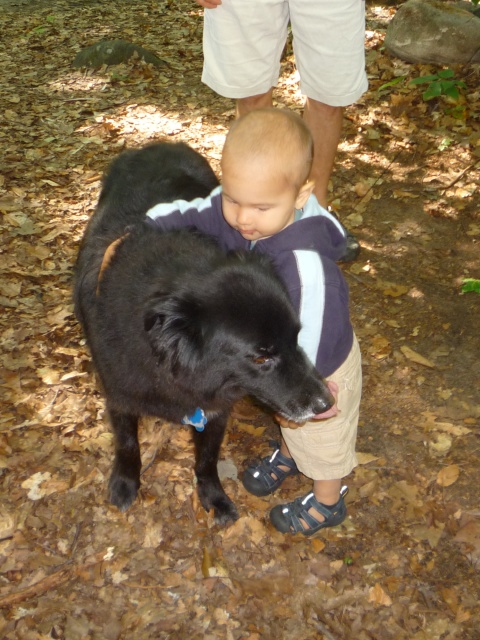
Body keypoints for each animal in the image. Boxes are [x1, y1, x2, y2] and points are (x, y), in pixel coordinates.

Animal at [74, 141, 334, 524]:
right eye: (261, 357)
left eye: (297, 338)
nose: (326, 403)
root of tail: (161, 143)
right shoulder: (119, 393)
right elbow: (127, 442)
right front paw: (125, 482)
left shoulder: (215, 409)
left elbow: (208, 458)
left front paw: (214, 496)